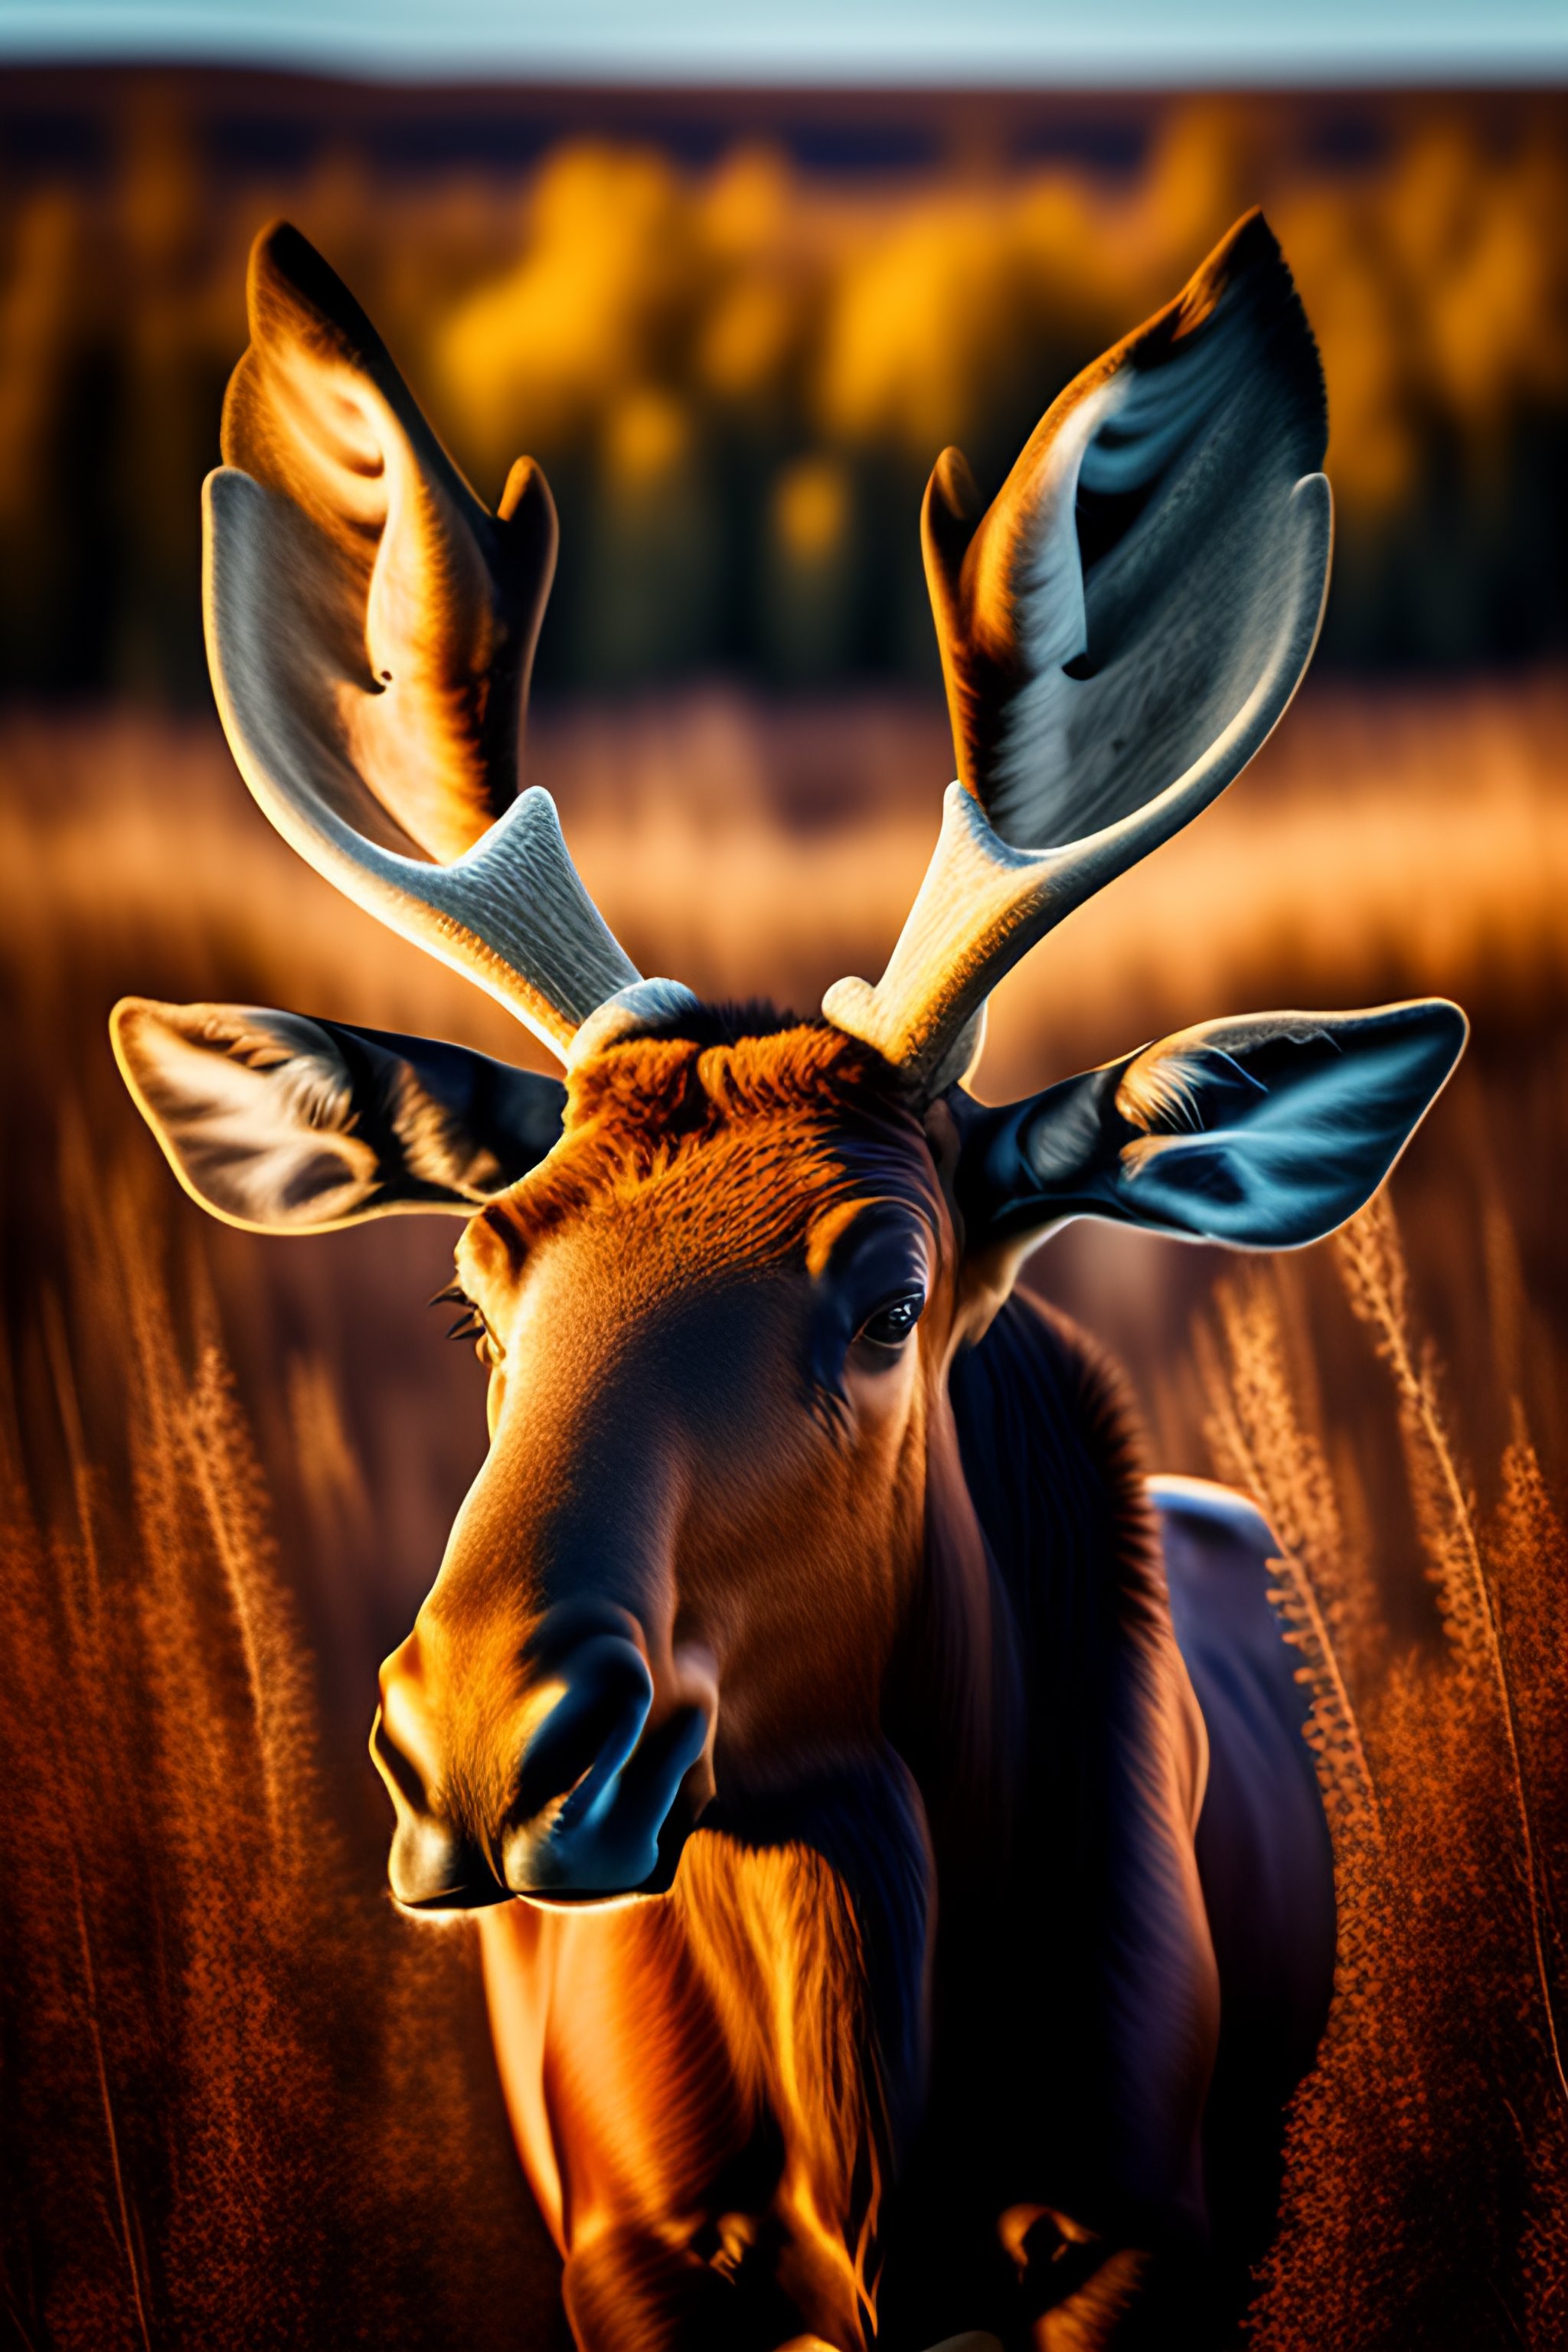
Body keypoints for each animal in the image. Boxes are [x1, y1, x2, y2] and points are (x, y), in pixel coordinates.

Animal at [111, 212, 1464, 2351]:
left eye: (894, 1292)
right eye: (476, 1286)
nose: (486, 1740)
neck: (872, 2165)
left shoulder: (1140, 2230)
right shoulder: (632, 2246)